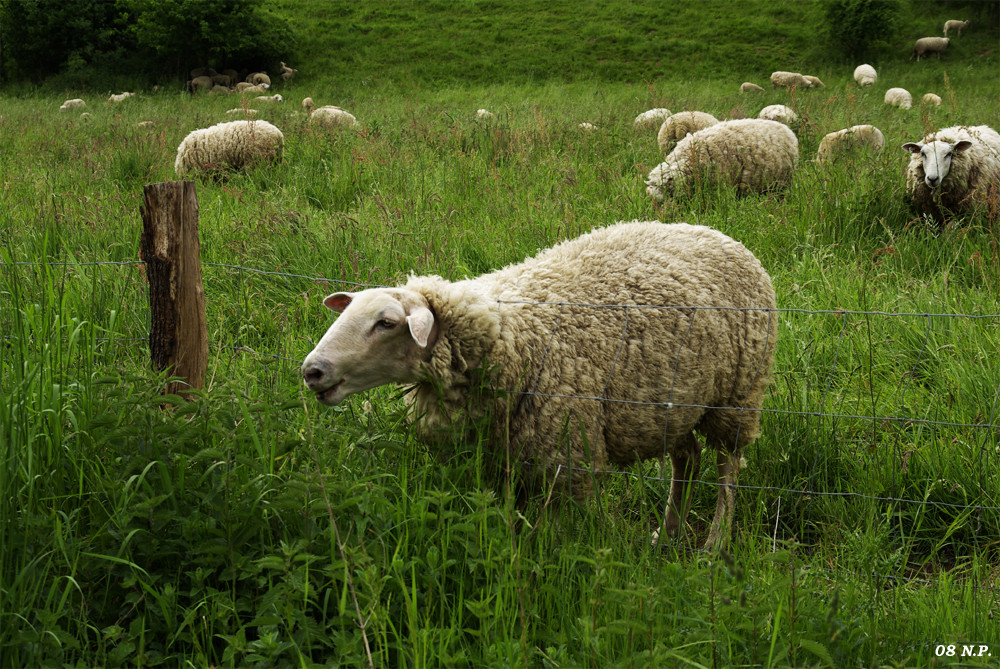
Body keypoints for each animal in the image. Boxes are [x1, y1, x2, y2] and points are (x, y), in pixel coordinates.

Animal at [300, 222, 776, 552]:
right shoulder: (502, 462)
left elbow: (552, 539)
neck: (509, 334)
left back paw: (714, 544)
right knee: (688, 459)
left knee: (728, 467)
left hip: (737, 397)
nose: (312, 371)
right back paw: (668, 534)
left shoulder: (566, 458)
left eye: (385, 322)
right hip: (673, 404)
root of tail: (719, 234)